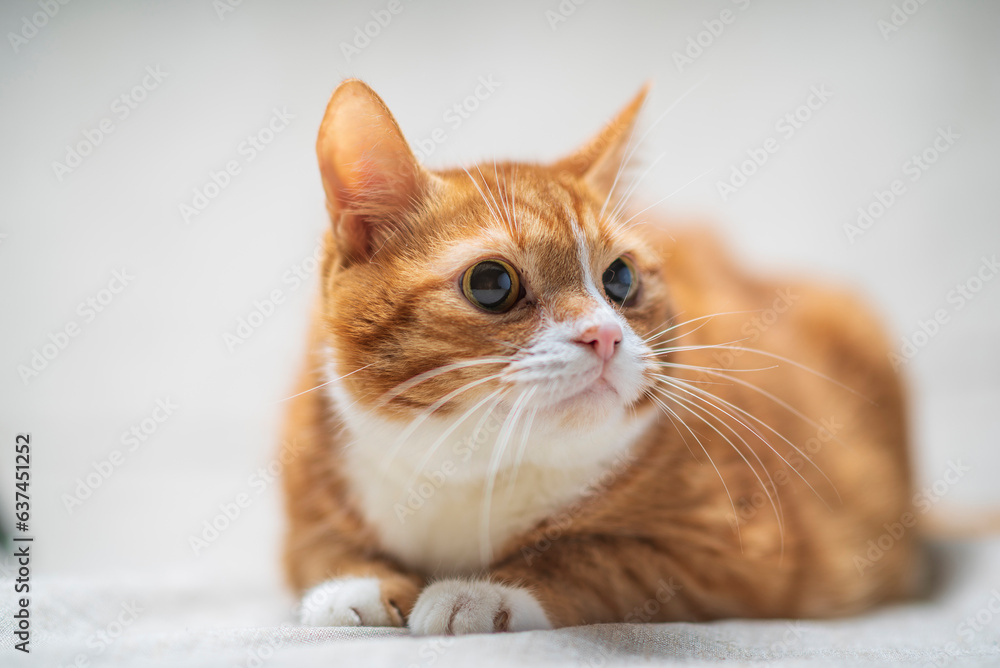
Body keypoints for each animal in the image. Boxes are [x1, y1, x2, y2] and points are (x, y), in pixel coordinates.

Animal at [278, 77, 916, 632]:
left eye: (620, 278)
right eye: (492, 283)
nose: (604, 335)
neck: (471, 470)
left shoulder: (734, 555)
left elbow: (591, 555)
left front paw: (484, 592)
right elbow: (321, 548)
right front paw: (354, 583)